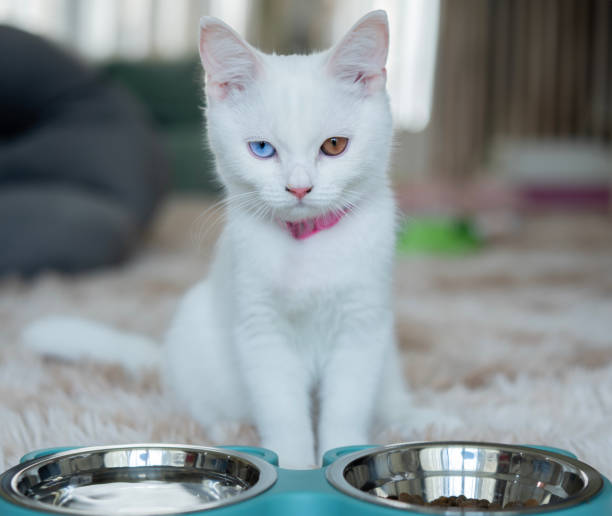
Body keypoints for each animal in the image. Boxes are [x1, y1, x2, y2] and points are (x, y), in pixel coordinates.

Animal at [23, 10, 416, 468]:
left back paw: (412, 420)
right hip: (196, 333)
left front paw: (340, 452)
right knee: (202, 406)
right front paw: (296, 465)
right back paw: (227, 429)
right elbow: (283, 412)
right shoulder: (260, 329)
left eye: (335, 146)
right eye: (262, 148)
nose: (299, 188)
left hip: (386, 348)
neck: (304, 247)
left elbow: (346, 410)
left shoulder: (362, 325)